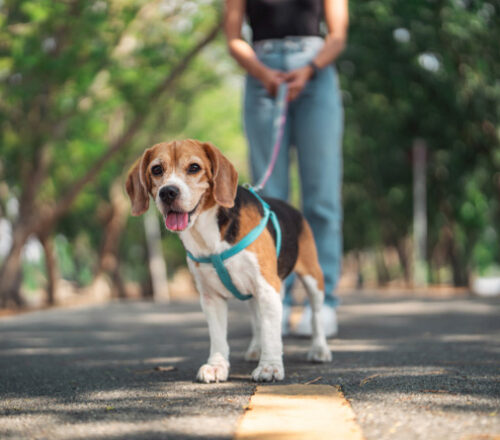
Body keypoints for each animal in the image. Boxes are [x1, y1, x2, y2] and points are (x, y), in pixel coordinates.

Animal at [125, 138, 330, 382]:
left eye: (194, 167)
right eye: (156, 169)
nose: (168, 192)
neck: (207, 234)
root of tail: (291, 207)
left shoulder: (267, 287)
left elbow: (272, 332)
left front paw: (270, 366)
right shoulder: (211, 297)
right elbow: (218, 337)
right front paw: (217, 366)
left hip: (312, 278)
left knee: (316, 315)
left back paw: (319, 349)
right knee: (258, 319)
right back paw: (256, 348)